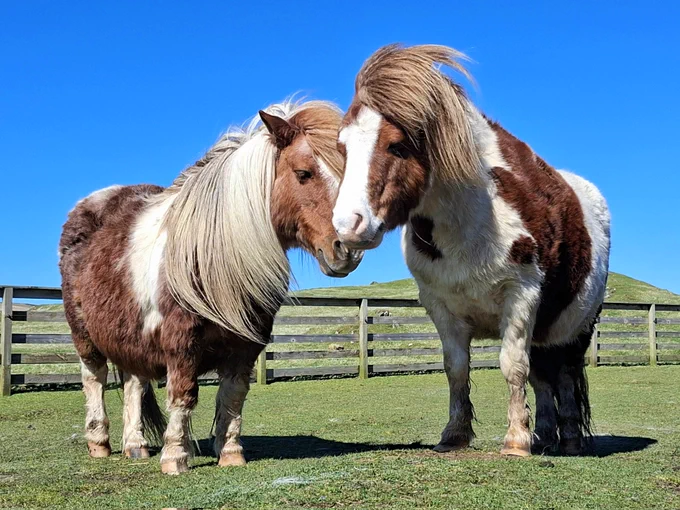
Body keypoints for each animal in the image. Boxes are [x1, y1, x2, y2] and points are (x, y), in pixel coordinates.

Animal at [58, 100, 363, 474]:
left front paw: (230, 454)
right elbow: (184, 395)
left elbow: (232, 396)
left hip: (129, 334)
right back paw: (99, 443)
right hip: (86, 338)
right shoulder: (181, 344)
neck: (211, 258)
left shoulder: (245, 347)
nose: (347, 250)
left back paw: (136, 446)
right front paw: (175, 457)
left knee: (133, 382)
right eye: (304, 173)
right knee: (94, 380)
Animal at [332, 44, 610, 456]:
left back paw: (571, 440)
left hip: (575, 327)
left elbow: (512, 365)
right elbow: (457, 368)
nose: (347, 227)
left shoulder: (521, 295)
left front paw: (515, 441)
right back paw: (545, 436)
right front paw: (455, 435)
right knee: (544, 379)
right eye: (343, 147)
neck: (470, 220)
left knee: (564, 374)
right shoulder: (440, 305)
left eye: (397, 145)